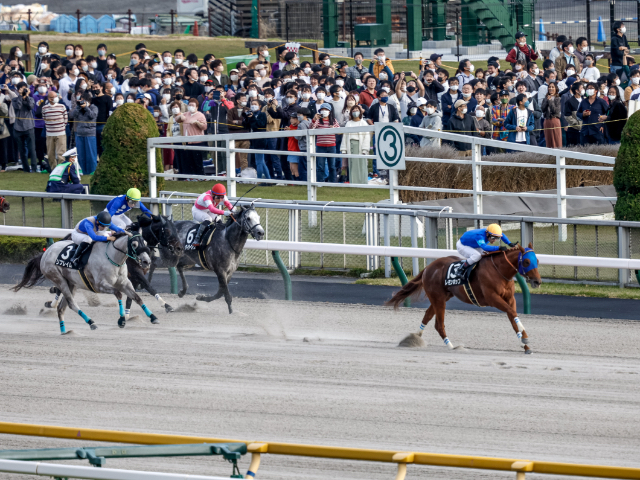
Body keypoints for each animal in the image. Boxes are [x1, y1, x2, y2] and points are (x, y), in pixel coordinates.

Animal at [13, 233, 158, 334]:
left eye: (145, 242)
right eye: (134, 244)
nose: (147, 261)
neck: (113, 258)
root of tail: (46, 252)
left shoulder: (124, 283)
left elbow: (137, 297)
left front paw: (153, 317)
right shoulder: (100, 285)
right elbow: (118, 294)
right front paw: (121, 320)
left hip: (71, 283)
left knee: (61, 307)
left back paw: (64, 331)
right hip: (58, 278)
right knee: (71, 303)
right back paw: (91, 322)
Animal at [388, 244, 544, 352]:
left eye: (537, 260)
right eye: (526, 262)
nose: (537, 281)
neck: (499, 270)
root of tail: (428, 268)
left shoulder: (510, 299)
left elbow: (513, 318)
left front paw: (525, 345)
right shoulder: (492, 298)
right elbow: (512, 313)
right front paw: (525, 338)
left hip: (441, 298)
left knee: (427, 316)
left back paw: (415, 338)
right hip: (438, 298)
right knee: (439, 324)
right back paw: (452, 346)